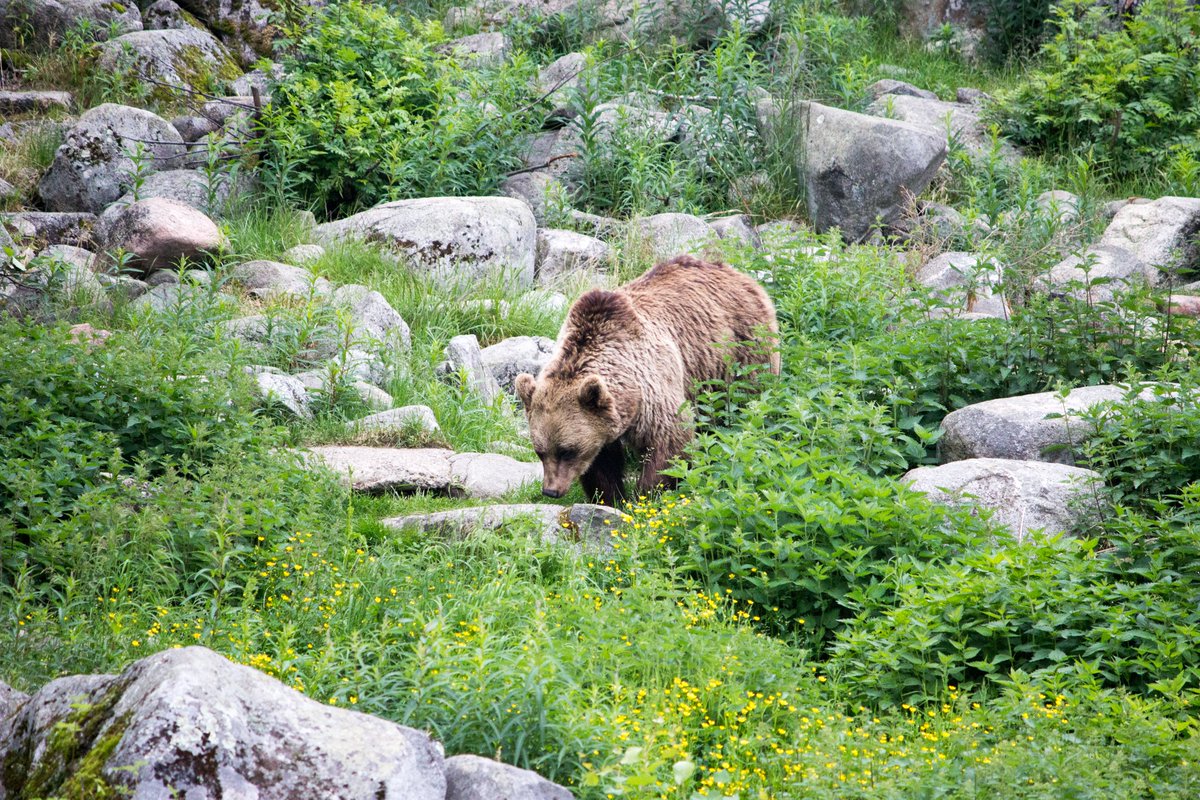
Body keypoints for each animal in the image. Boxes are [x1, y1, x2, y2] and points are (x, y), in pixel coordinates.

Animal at [515, 254, 780, 507]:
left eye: (567, 451)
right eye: (540, 451)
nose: (551, 491)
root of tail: (737, 273)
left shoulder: (653, 389)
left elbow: (670, 440)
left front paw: (647, 495)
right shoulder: (605, 419)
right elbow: (602, 462)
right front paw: (610, 498)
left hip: (741, 350)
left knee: (745, 403)